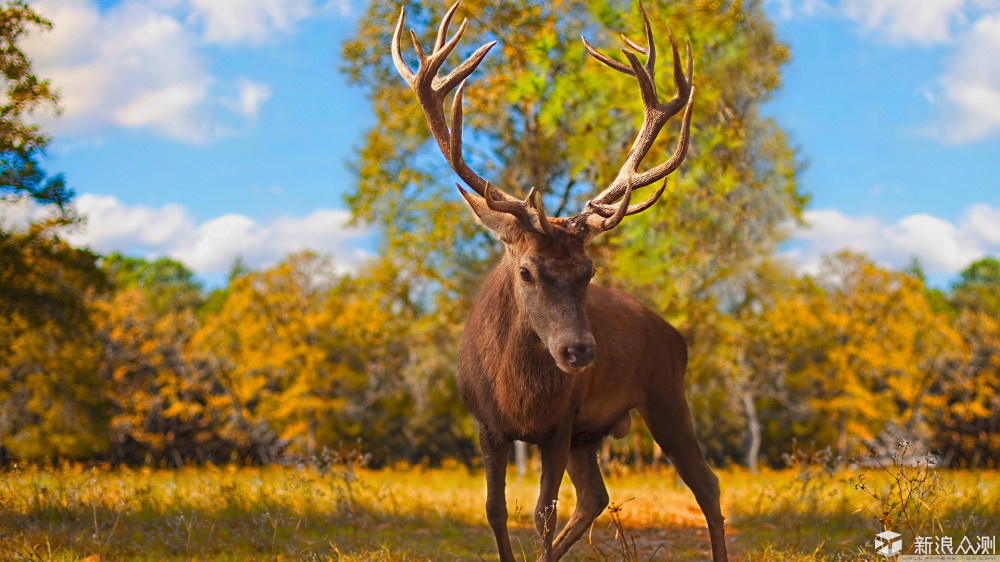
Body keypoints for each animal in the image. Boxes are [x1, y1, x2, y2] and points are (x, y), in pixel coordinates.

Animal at [390, 1, 728, 560]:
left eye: (589, 272)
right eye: (527, 270)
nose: (579, 351)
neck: (517, 396)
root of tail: (676, 336)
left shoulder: (560, 423)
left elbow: (542, 515)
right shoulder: (487, 423)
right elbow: (495, 510)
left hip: (665, 394)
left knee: (706, 483)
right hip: (593, 435)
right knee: (596, 497)